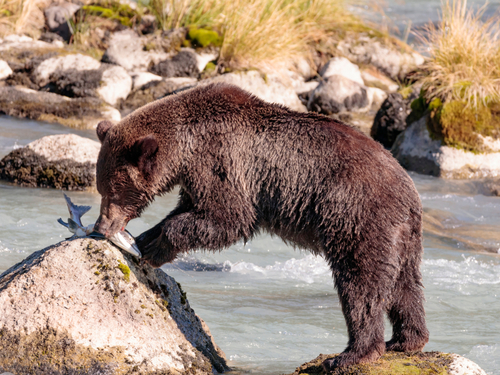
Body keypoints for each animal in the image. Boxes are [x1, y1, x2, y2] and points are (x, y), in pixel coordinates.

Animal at [94, 83, 430, 370]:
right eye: (101, 187)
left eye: (111, 190)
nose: (101, 225)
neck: (185, 147)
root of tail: (409, 189)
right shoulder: (197, 177)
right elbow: (191, 209)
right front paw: (146, 238)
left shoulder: (221, 163)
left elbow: (228, 218)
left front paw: (153, 245)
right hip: (402, 235)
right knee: (405, 284)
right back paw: (406, 340)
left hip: (355, 215)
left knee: (361, 284)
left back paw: (351, 354)